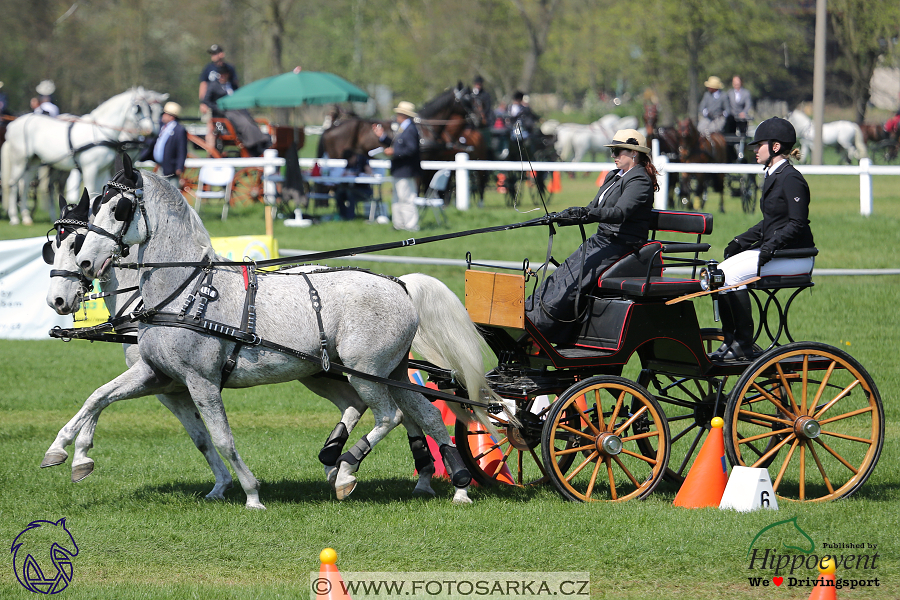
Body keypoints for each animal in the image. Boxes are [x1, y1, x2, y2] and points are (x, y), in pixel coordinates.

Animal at [1, 90, 165, 226]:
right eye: (138, 108)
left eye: (157, 110)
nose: (152, 131)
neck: (101, 133)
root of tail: (13, 124)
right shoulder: (90, 168)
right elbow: (92, 191)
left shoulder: (104, 170)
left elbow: (101, 192)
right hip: (20, 162)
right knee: (13, 185)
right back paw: (14, 218)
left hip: (34, 163)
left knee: (27, 185)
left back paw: (27, 217)